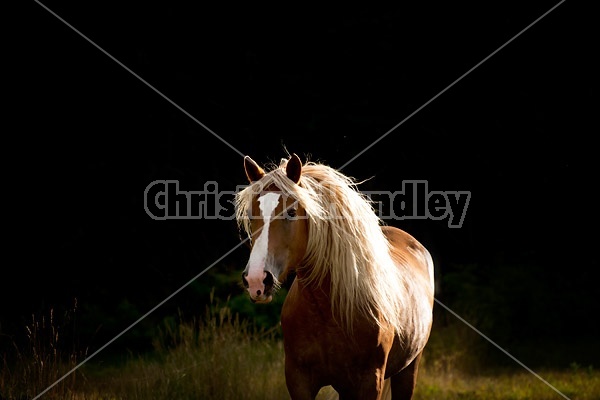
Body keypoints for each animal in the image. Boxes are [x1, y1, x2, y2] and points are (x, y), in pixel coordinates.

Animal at [236, 153, 436, 400]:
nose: (256, 280)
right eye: (250, 214)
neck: (326, 310)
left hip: (408, 370)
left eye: (291, 212)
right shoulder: (298, 381)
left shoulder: (370, 382)